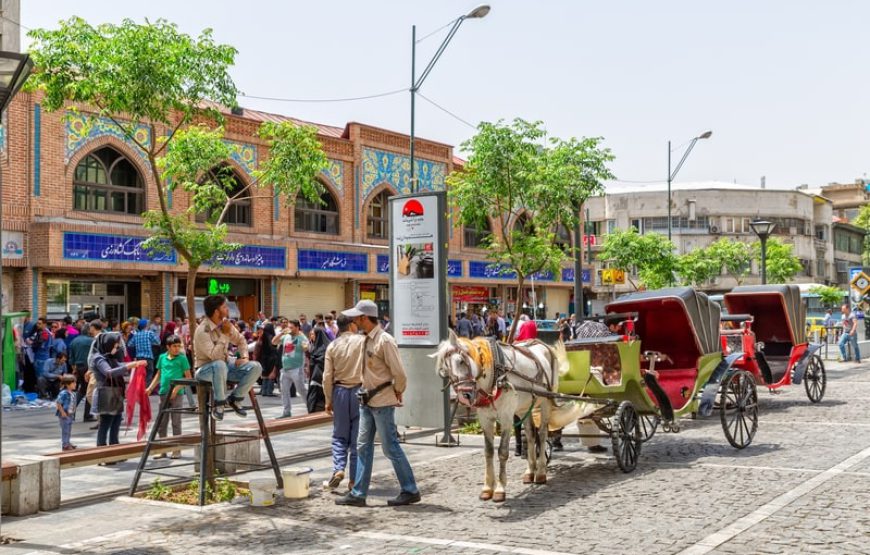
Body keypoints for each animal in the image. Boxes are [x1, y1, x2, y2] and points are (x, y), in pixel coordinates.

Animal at [432, 330, 568, 504]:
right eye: (445, 369)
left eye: (461, 361)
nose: (465, 396)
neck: (495, 377)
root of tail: (543, 345)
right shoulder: (485, 419)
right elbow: (488, 451)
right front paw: (487, 488)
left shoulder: (506, 418)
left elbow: (502, 452)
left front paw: (500, 489)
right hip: (524, 407)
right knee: (530, 434)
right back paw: (530, 471)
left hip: (546, 401)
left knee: (543, 434)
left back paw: (541, 473)